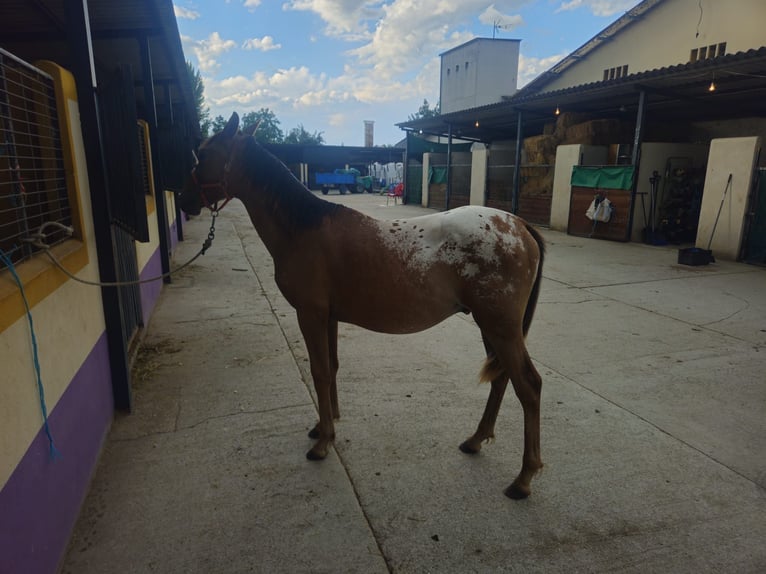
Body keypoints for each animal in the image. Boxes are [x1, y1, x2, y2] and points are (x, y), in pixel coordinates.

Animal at [178, 112, 546, 499]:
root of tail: (520, 225)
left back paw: (523, 478)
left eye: (204, 155)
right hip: (491, 326)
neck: (302, 227)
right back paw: (476, 440)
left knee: (528, 386)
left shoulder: (310, 314)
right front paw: (324, 425)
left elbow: (320, 372)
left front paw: (323, 442)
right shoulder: (328, 317)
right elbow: (332, 367)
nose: (184, 199)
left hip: (500, 326)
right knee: (502, 378)